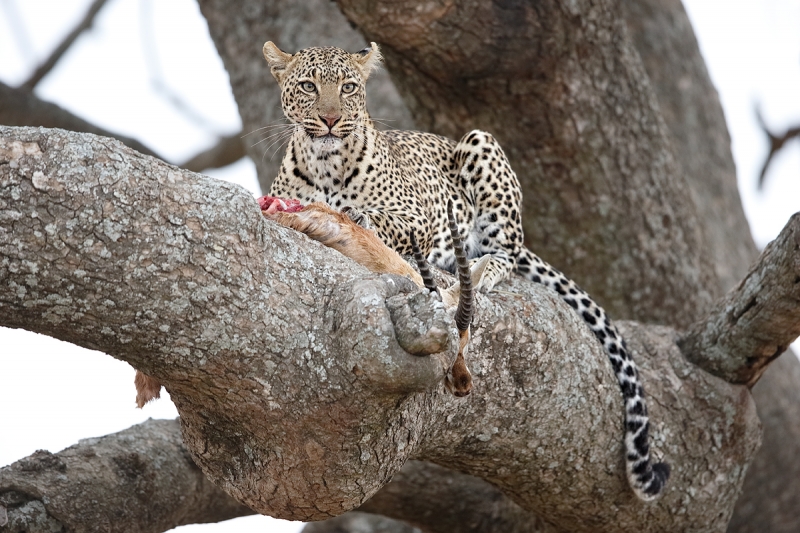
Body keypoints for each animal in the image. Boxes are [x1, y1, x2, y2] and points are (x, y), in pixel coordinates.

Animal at [260, 40, 668, 498]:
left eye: (348, 87)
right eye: (308, 86)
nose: (331, 120)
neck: (324, 164)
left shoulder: (415, 217)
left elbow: (373, 218)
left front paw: (350, 216)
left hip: (482, 148)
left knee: (507, 252)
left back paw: (478, 267)